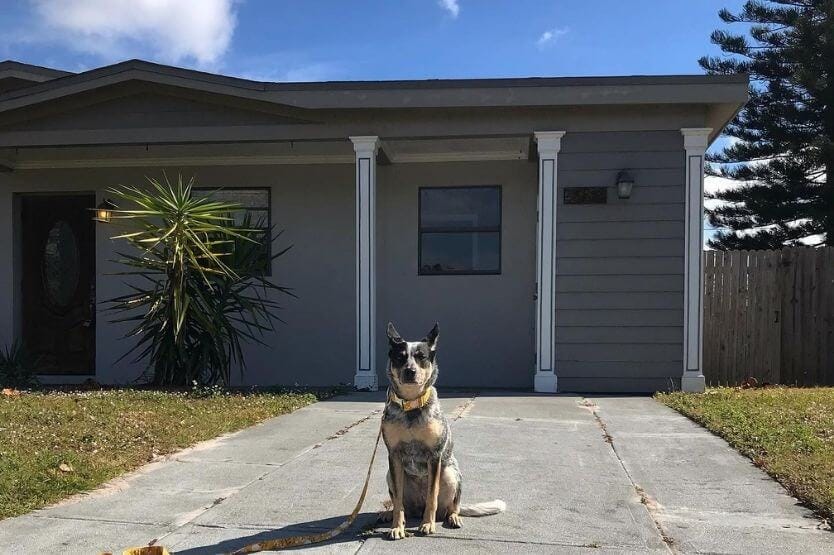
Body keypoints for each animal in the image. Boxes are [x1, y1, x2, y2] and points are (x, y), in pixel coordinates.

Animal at [378, 324, 508, 540]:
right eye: (400, 357)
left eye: (421, 356)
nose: (410, 371)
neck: (411, 406)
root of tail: (417, 508)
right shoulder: (394, 456)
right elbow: (397, 501)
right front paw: (397, 527)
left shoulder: (434, 456)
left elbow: (432, 496)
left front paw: (428, 525)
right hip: (390, 474)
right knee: (401, 504)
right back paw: (388, 514)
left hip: (451, 474)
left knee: (451, 507)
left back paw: (453, 518)